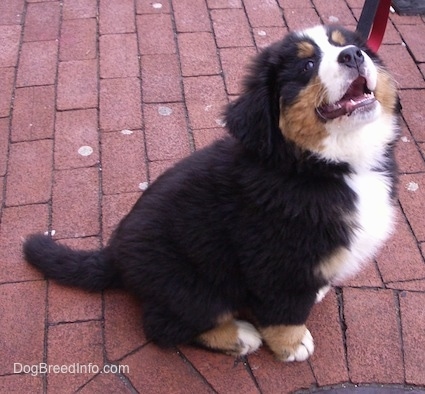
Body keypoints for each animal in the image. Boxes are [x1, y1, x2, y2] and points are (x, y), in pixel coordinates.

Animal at [24, 24, 400, 362]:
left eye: (350, 45)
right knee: (164, 325)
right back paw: (238, 336)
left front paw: (319, 285)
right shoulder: (275, 261)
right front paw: (292, 346)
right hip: (191, 283)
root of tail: (114, 254)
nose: (353, 55)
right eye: (307, 65)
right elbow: (284, 313)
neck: (323, 165)